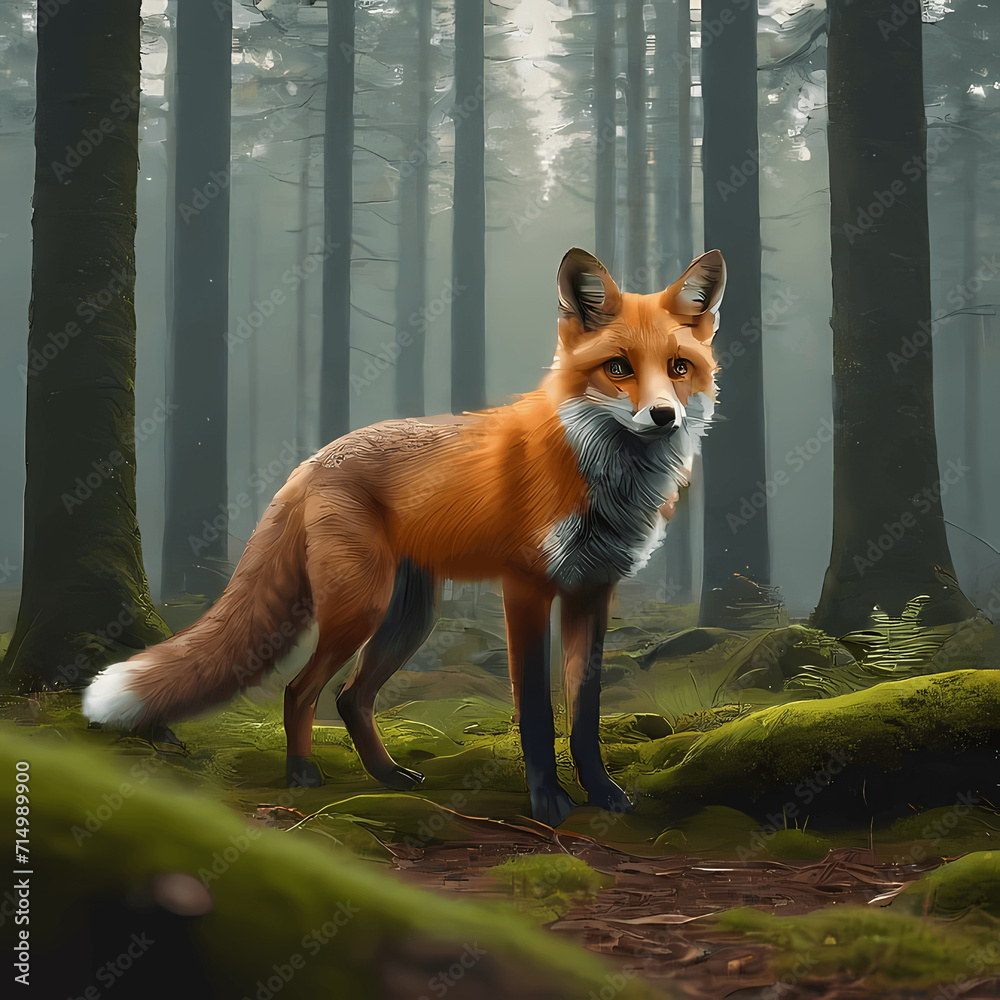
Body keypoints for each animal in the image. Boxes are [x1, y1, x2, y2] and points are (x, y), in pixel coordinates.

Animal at [83, 247, 726, 827]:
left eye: (678, 368)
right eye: (618, 368)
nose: (664, 417)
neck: (601, 475)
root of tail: (315, 458)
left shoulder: (592, 591)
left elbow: (585, 716)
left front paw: (603, 793)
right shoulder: (525, 589)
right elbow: (537, 715)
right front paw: (548, 806)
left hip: (410, 617)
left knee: (350, 697)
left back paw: (388, 776)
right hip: (360, 606)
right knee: (301, 689)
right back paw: (302, 774)